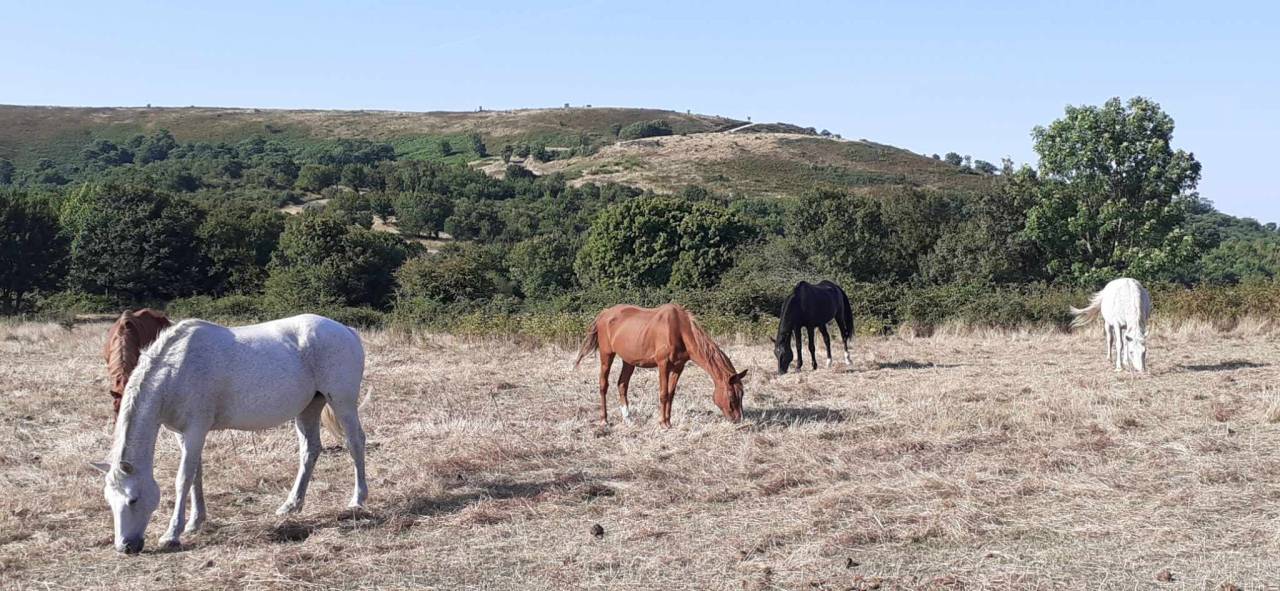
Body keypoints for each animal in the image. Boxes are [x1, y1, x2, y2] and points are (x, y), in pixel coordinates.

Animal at [89, 314, 367, 554]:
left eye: (133, 500)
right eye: (109, 501)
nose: (125, 547)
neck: (176, 370)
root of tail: (346, 330)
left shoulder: (196, 430)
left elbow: (183, 479)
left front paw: (172, 534)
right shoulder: (184, 434)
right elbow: (196, 476)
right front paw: (195, 522)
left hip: (342, 403)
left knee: (355, 442)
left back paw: (357, 500)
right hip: (309, 408)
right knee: (310, 451)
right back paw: (291, 505)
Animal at [575, 303, 747, 428]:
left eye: (742, 394)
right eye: (731, 396)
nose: (738, 420)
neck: (679, 329)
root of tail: (604, 314)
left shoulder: (678, 367)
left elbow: (671, 394)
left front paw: (669, 422)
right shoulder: (663, 365)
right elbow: (663, 394)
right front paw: (662, 423)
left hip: (629, 361)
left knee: (622, 385)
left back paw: (628, 419)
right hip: (606, 355)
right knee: (603, 385)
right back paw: (604, 420)